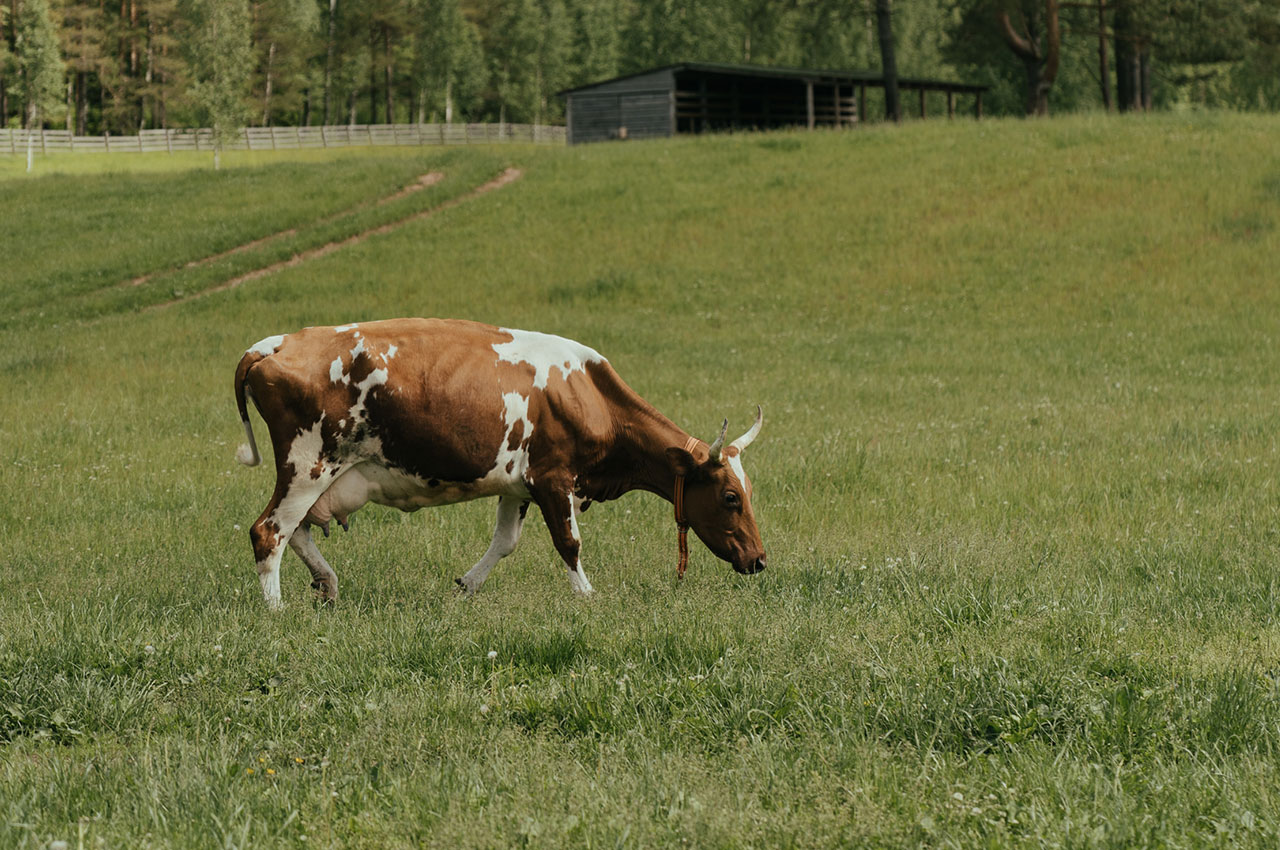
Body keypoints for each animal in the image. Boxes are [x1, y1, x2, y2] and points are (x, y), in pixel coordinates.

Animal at [234, 314, 762, 606]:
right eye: (730, 497)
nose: (759, 560)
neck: (584, 391)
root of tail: (276, 343)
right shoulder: (552, 477)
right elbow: (570, 543)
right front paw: (587, 596)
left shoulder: (517, 484)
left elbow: (505, 542)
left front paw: (466, 586)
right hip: (308, 465)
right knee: (270, 532)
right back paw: (277, 610)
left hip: (319, 478)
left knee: (296, 531)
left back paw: (326, 583)